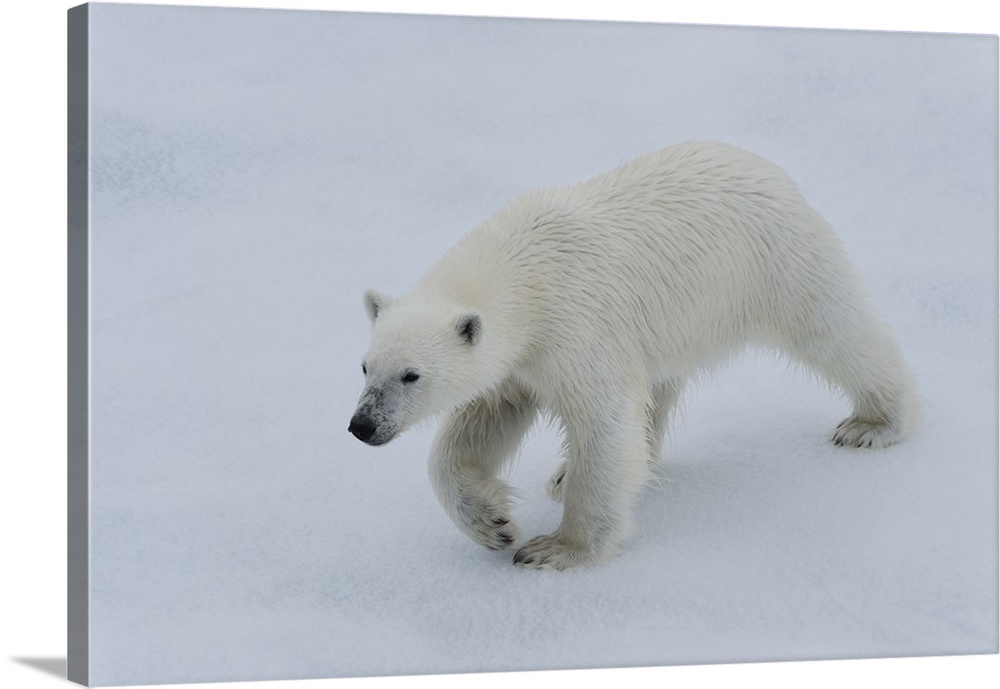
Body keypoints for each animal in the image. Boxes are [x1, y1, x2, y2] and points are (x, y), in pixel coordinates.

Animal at [348, 141, 916, 568]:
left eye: (412, 375)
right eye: (365, 366)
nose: (362, 426)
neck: (522, 271)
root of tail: (763, 165)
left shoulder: (575, 326)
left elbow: (603, 417)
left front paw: (558, 549)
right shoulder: (522, 361)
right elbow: (482, 423)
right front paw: (493, 523)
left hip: (775, 261)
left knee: (836, 330)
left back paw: (874, 422)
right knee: (655, 394)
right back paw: (568, 473)